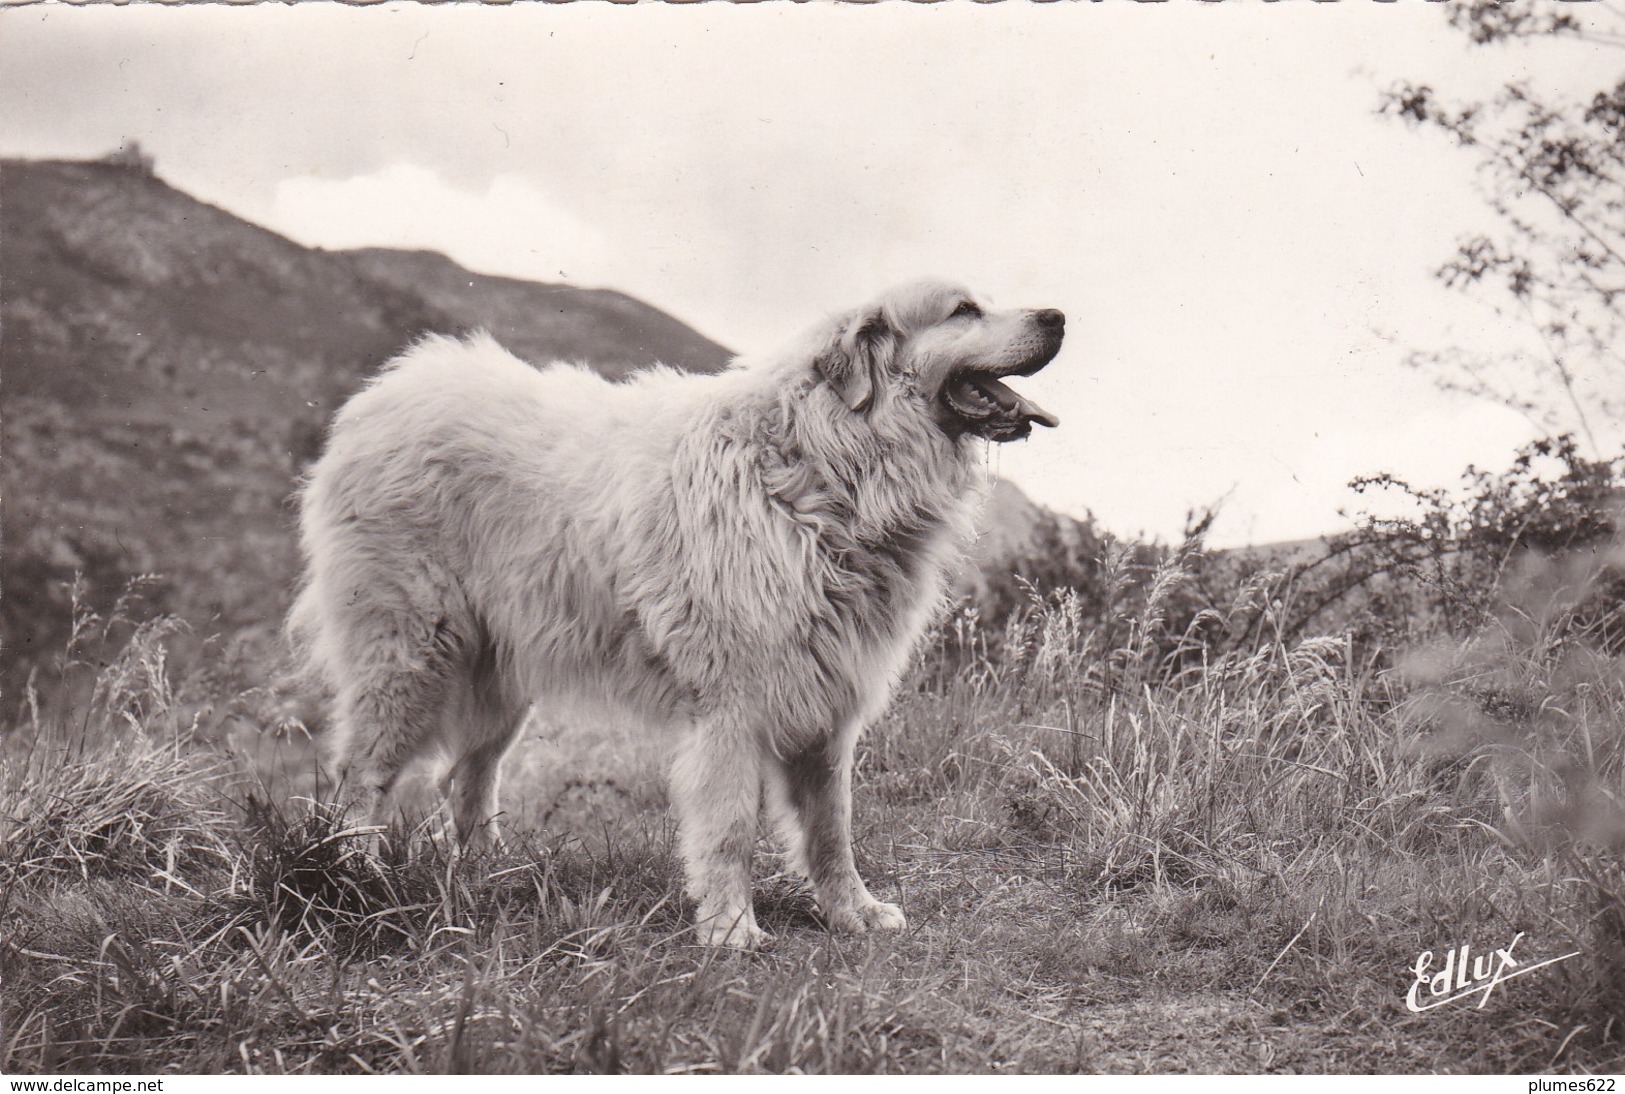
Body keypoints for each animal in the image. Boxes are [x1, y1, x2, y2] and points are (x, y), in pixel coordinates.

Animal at [292, 281, 1066, 949]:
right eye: (963, 310)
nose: (1058, 316)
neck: (822, 464)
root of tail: (390, 392)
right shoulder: (732, 707)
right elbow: (729, 829)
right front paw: (730, 929)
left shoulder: (827, 703)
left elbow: (831, 829)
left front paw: (852, 912)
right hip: (408, 659)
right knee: (361, 776)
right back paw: (356, 876)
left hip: (502, 679)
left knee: (469, 778)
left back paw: (491, 872)